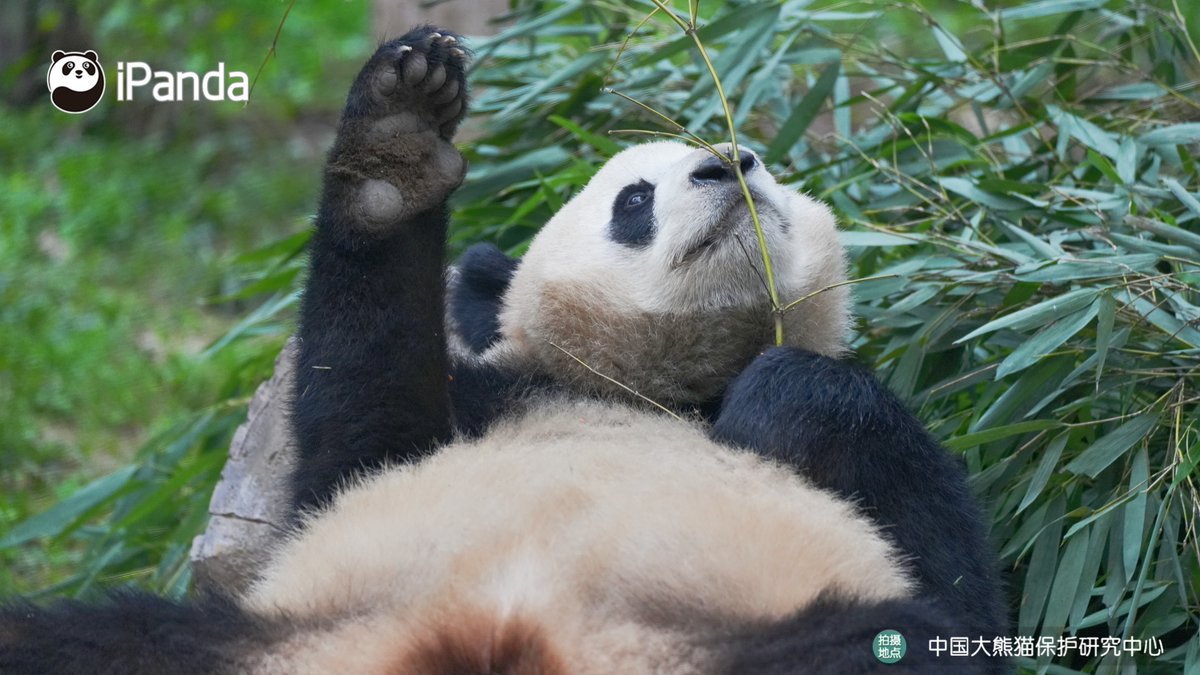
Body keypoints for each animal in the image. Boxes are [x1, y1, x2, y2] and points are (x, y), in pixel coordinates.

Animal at [1, 27, 1007, 674]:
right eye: (633, 198)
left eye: (768, 168)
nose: (732, 164)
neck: (648, 390)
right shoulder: (467, 413)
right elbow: (361, 411)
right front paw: (396, 143)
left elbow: (958, 584)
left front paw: (777, 396)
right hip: (262, 636)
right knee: (72, 643)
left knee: (903, 647)